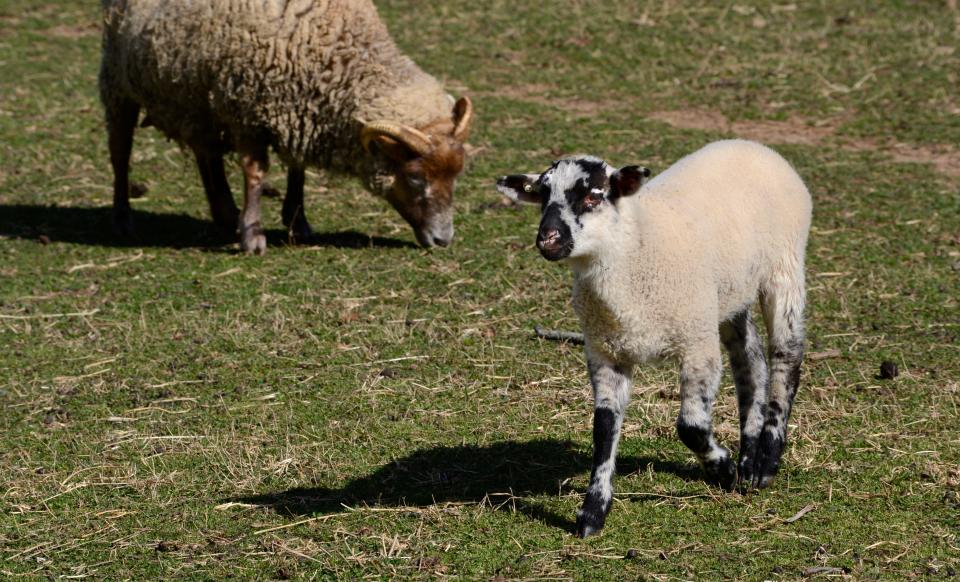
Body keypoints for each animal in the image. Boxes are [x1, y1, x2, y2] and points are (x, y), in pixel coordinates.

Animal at [98, 0, 472, 253]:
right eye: (415, 177)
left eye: (457, 175)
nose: (443, 239)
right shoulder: (245, 111)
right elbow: (255, 172)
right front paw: (252, 235)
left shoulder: (297, 110)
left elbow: (298, 168)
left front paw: (297, 222)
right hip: (119, 81)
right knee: (120, 151)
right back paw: (122, 218)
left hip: (197, 97)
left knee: (206, 151)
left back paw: (225, 212)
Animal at [498, 140, 812, 540]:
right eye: (542, 194)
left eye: (594, 195)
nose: (547, 239)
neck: (634, 247)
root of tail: (750, 145)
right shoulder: (605, 351)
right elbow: (604, 429)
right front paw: (592, 512)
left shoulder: (696, 343)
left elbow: (691, 428)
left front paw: (722, 469)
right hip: (726, 294)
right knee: (750, 360)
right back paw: (748, 458)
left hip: (783, 266)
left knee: (786, 355)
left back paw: (766, 463)